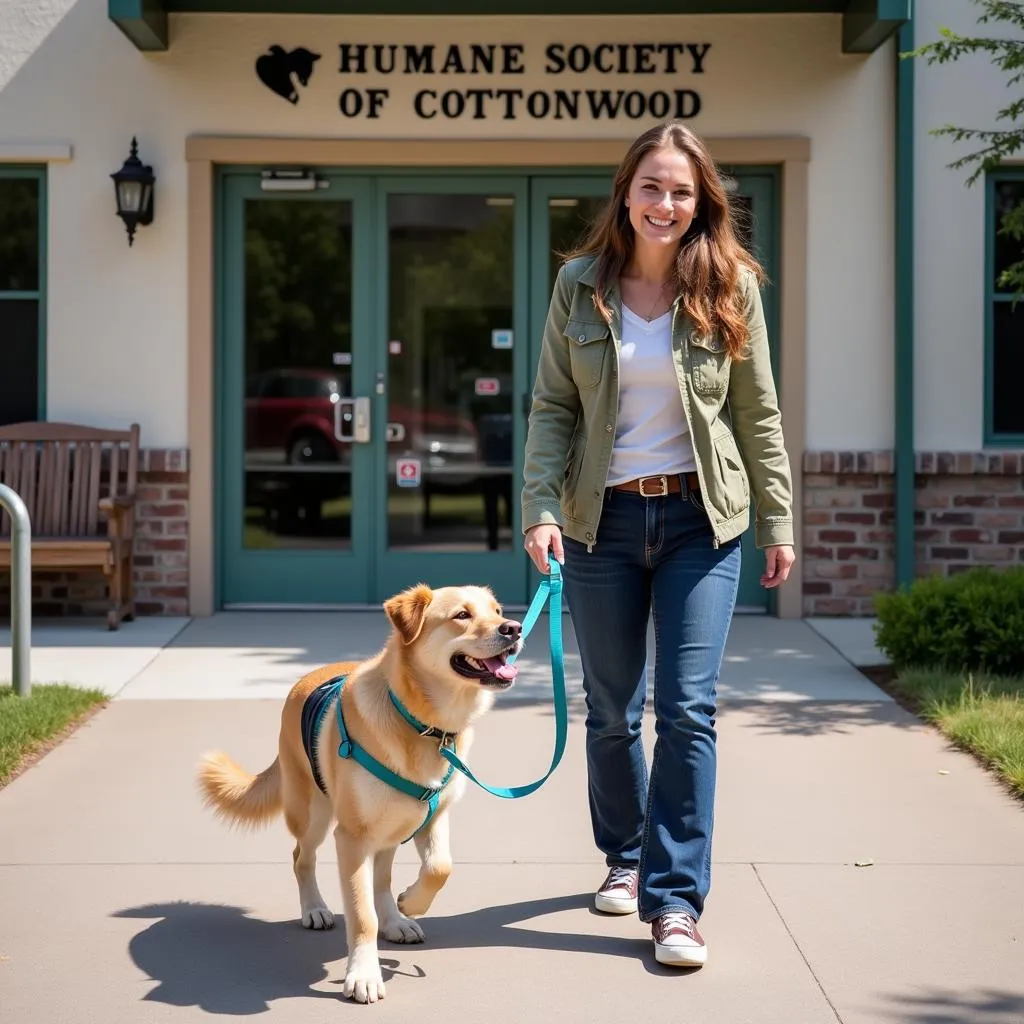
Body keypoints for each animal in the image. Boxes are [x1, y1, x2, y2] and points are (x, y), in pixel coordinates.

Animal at [196, 581, 524, 1003]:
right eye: (462, 615)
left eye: (498, 611)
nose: (514, 629)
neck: (422, 724)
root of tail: (309, 676)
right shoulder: (351, 838)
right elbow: (361, 913)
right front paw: (364, 974)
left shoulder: (433, 817)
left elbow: (440, 867)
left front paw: (410, 903)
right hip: (314, 815)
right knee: (301, 857)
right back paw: (315, 908)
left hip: (393, 826)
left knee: (381, 877)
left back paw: (395, 919)